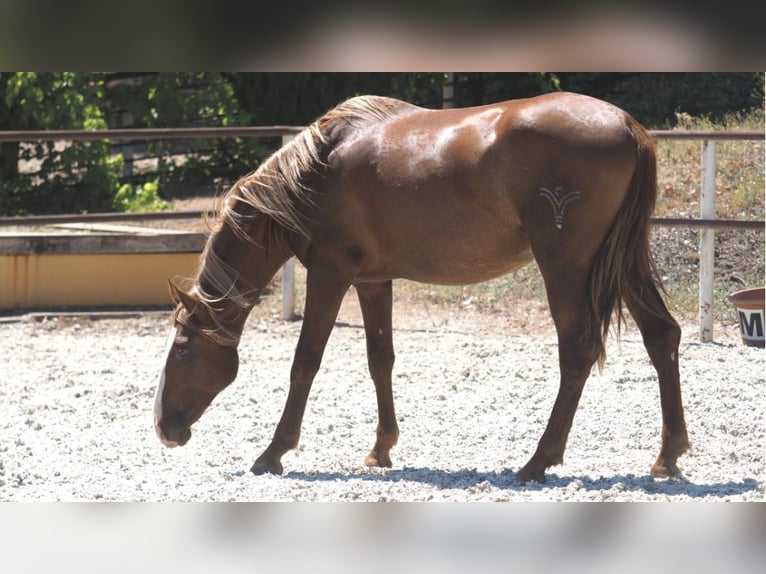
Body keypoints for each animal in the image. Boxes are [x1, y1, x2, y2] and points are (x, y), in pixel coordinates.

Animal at [153, 93, 692, 482]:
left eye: (182, 350)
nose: (164, 429)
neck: (312, 175)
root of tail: (629, 126)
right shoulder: (372, 281)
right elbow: (380, 359)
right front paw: (381, 448)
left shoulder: (330, 274)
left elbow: (305, 361)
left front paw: (274, 451)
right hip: (623, 263)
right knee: (662, 336)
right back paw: (667, 456)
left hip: (565, 267)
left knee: (578, 351)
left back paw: (538, 461)